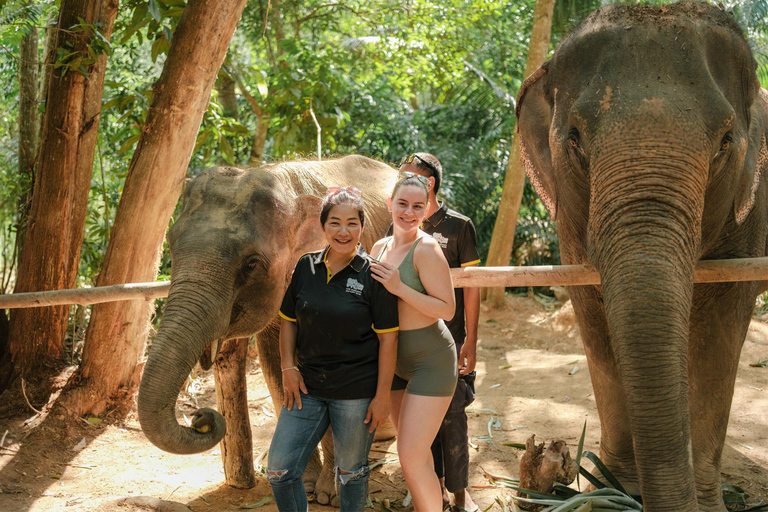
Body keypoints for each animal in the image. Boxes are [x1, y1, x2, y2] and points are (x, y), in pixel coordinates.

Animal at [138, 155, 400, 500]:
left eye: (251, 265)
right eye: (171, 247)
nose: (200, 416)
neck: (289, 187)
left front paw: (328, 494)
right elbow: (277, 367)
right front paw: (304, 482)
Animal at [516, 4, 768, 512]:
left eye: (725, 142)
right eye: (575, 139)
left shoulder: (752, 213)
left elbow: (719, 335)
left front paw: (705, 503)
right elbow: (596, 322)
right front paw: (611, 487)